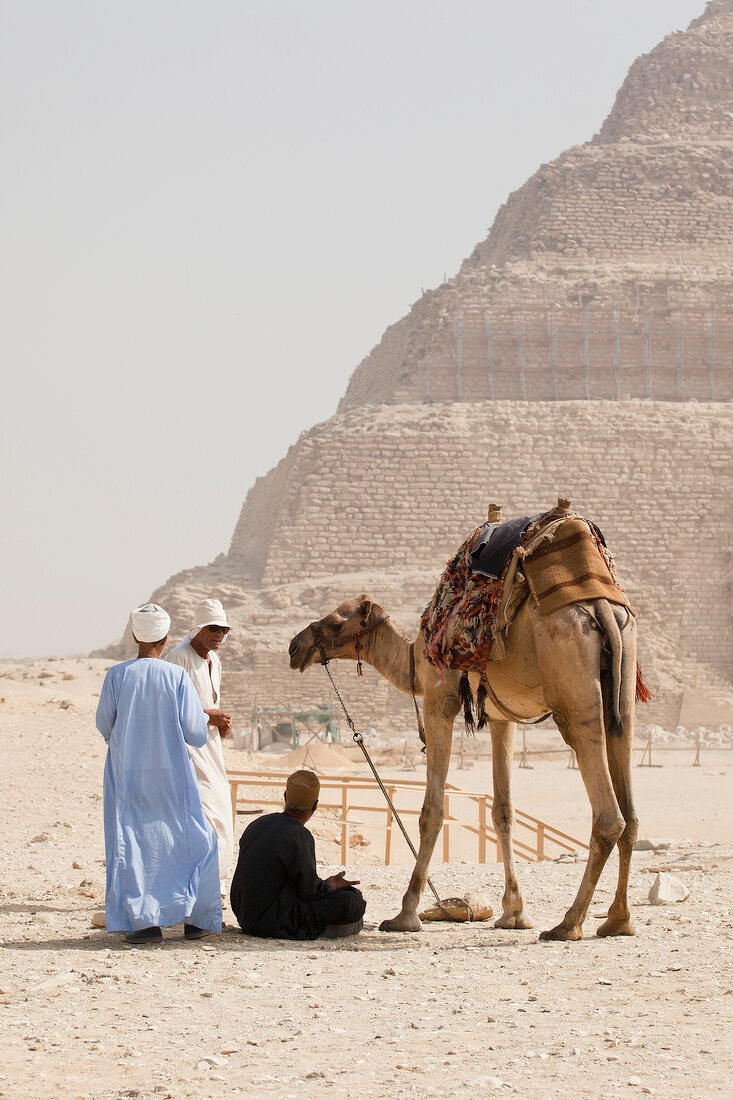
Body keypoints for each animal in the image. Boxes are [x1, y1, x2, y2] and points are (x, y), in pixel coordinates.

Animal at [288, 589, 638, 941]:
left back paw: (569, 923)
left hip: (574, 692)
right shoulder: (501, 718)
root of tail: (602, 608)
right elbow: (503, 813)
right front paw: (514, 912)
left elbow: (431, 812)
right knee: (630, 813)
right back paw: (617, 920)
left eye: (336, 623)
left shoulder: (439, 701)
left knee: (609, 815)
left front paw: (405, 914)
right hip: (622, 696)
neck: (414, 659)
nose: (295, 647)